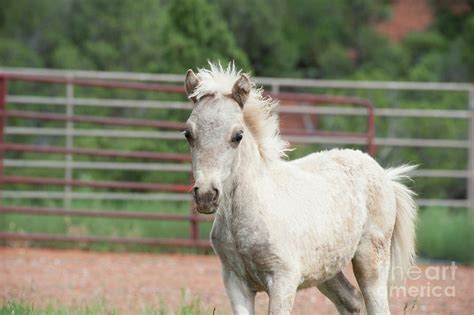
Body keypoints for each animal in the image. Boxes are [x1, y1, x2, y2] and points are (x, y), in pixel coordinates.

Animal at [183, 64, 416, 315]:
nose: (206, 194)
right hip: (327, 268)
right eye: (188, 134)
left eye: (238, 135)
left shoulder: (283, 280)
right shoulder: (236, 282)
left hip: (371, 260)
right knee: (351, 299)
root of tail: (385, 175)